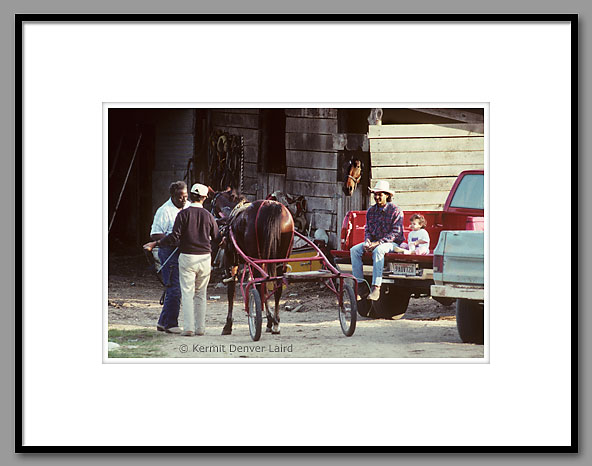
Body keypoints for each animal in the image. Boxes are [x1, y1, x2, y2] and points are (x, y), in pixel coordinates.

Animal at [220, 200, 294, 334]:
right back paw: (276, 322)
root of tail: (271, 206)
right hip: (281, 258)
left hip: (257, 258)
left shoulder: (231, 260)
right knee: (276, 286)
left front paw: (228, 325)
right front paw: (270, 321)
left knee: (259, 287)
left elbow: (231, 289)